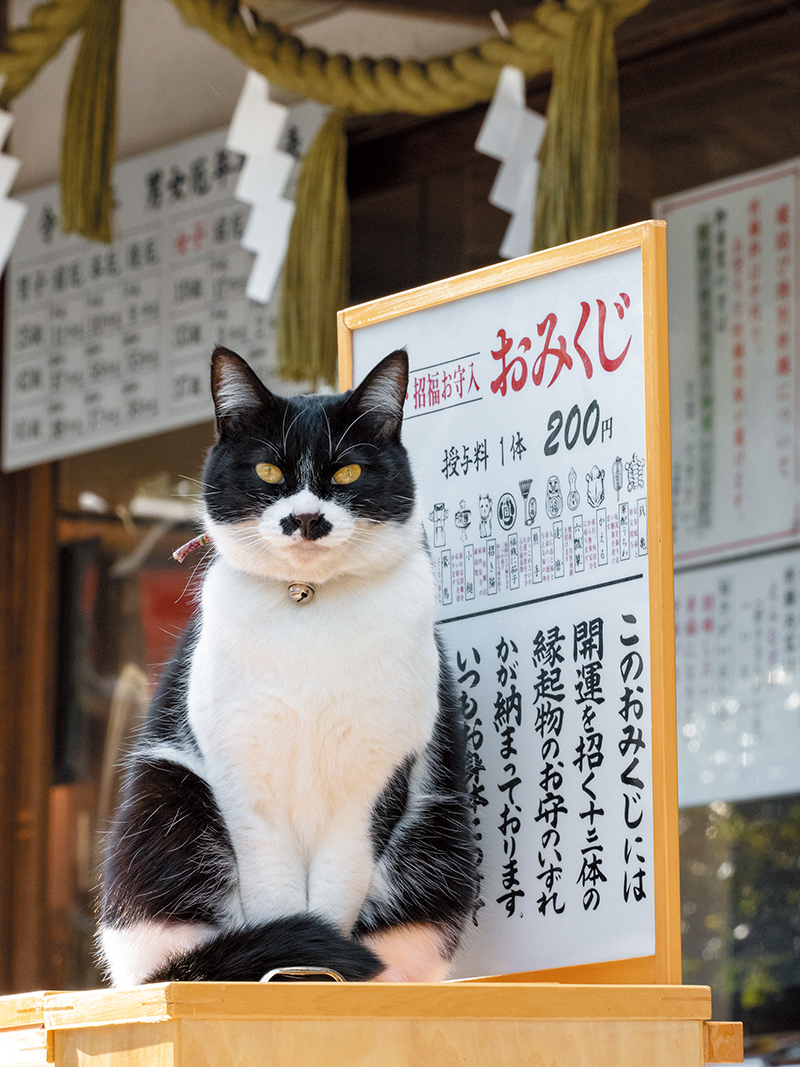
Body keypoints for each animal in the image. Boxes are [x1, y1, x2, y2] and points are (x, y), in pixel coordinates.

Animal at [98, 347, 475, 981]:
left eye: (346, 473)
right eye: (269, 472)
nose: (305, 519)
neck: (308, 605)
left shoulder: (375, 782)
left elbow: (337, 890)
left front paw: (325, 975)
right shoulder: (240, 778)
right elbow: (274, 894)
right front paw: (293, 975)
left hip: (441, 830)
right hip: (166, 796)